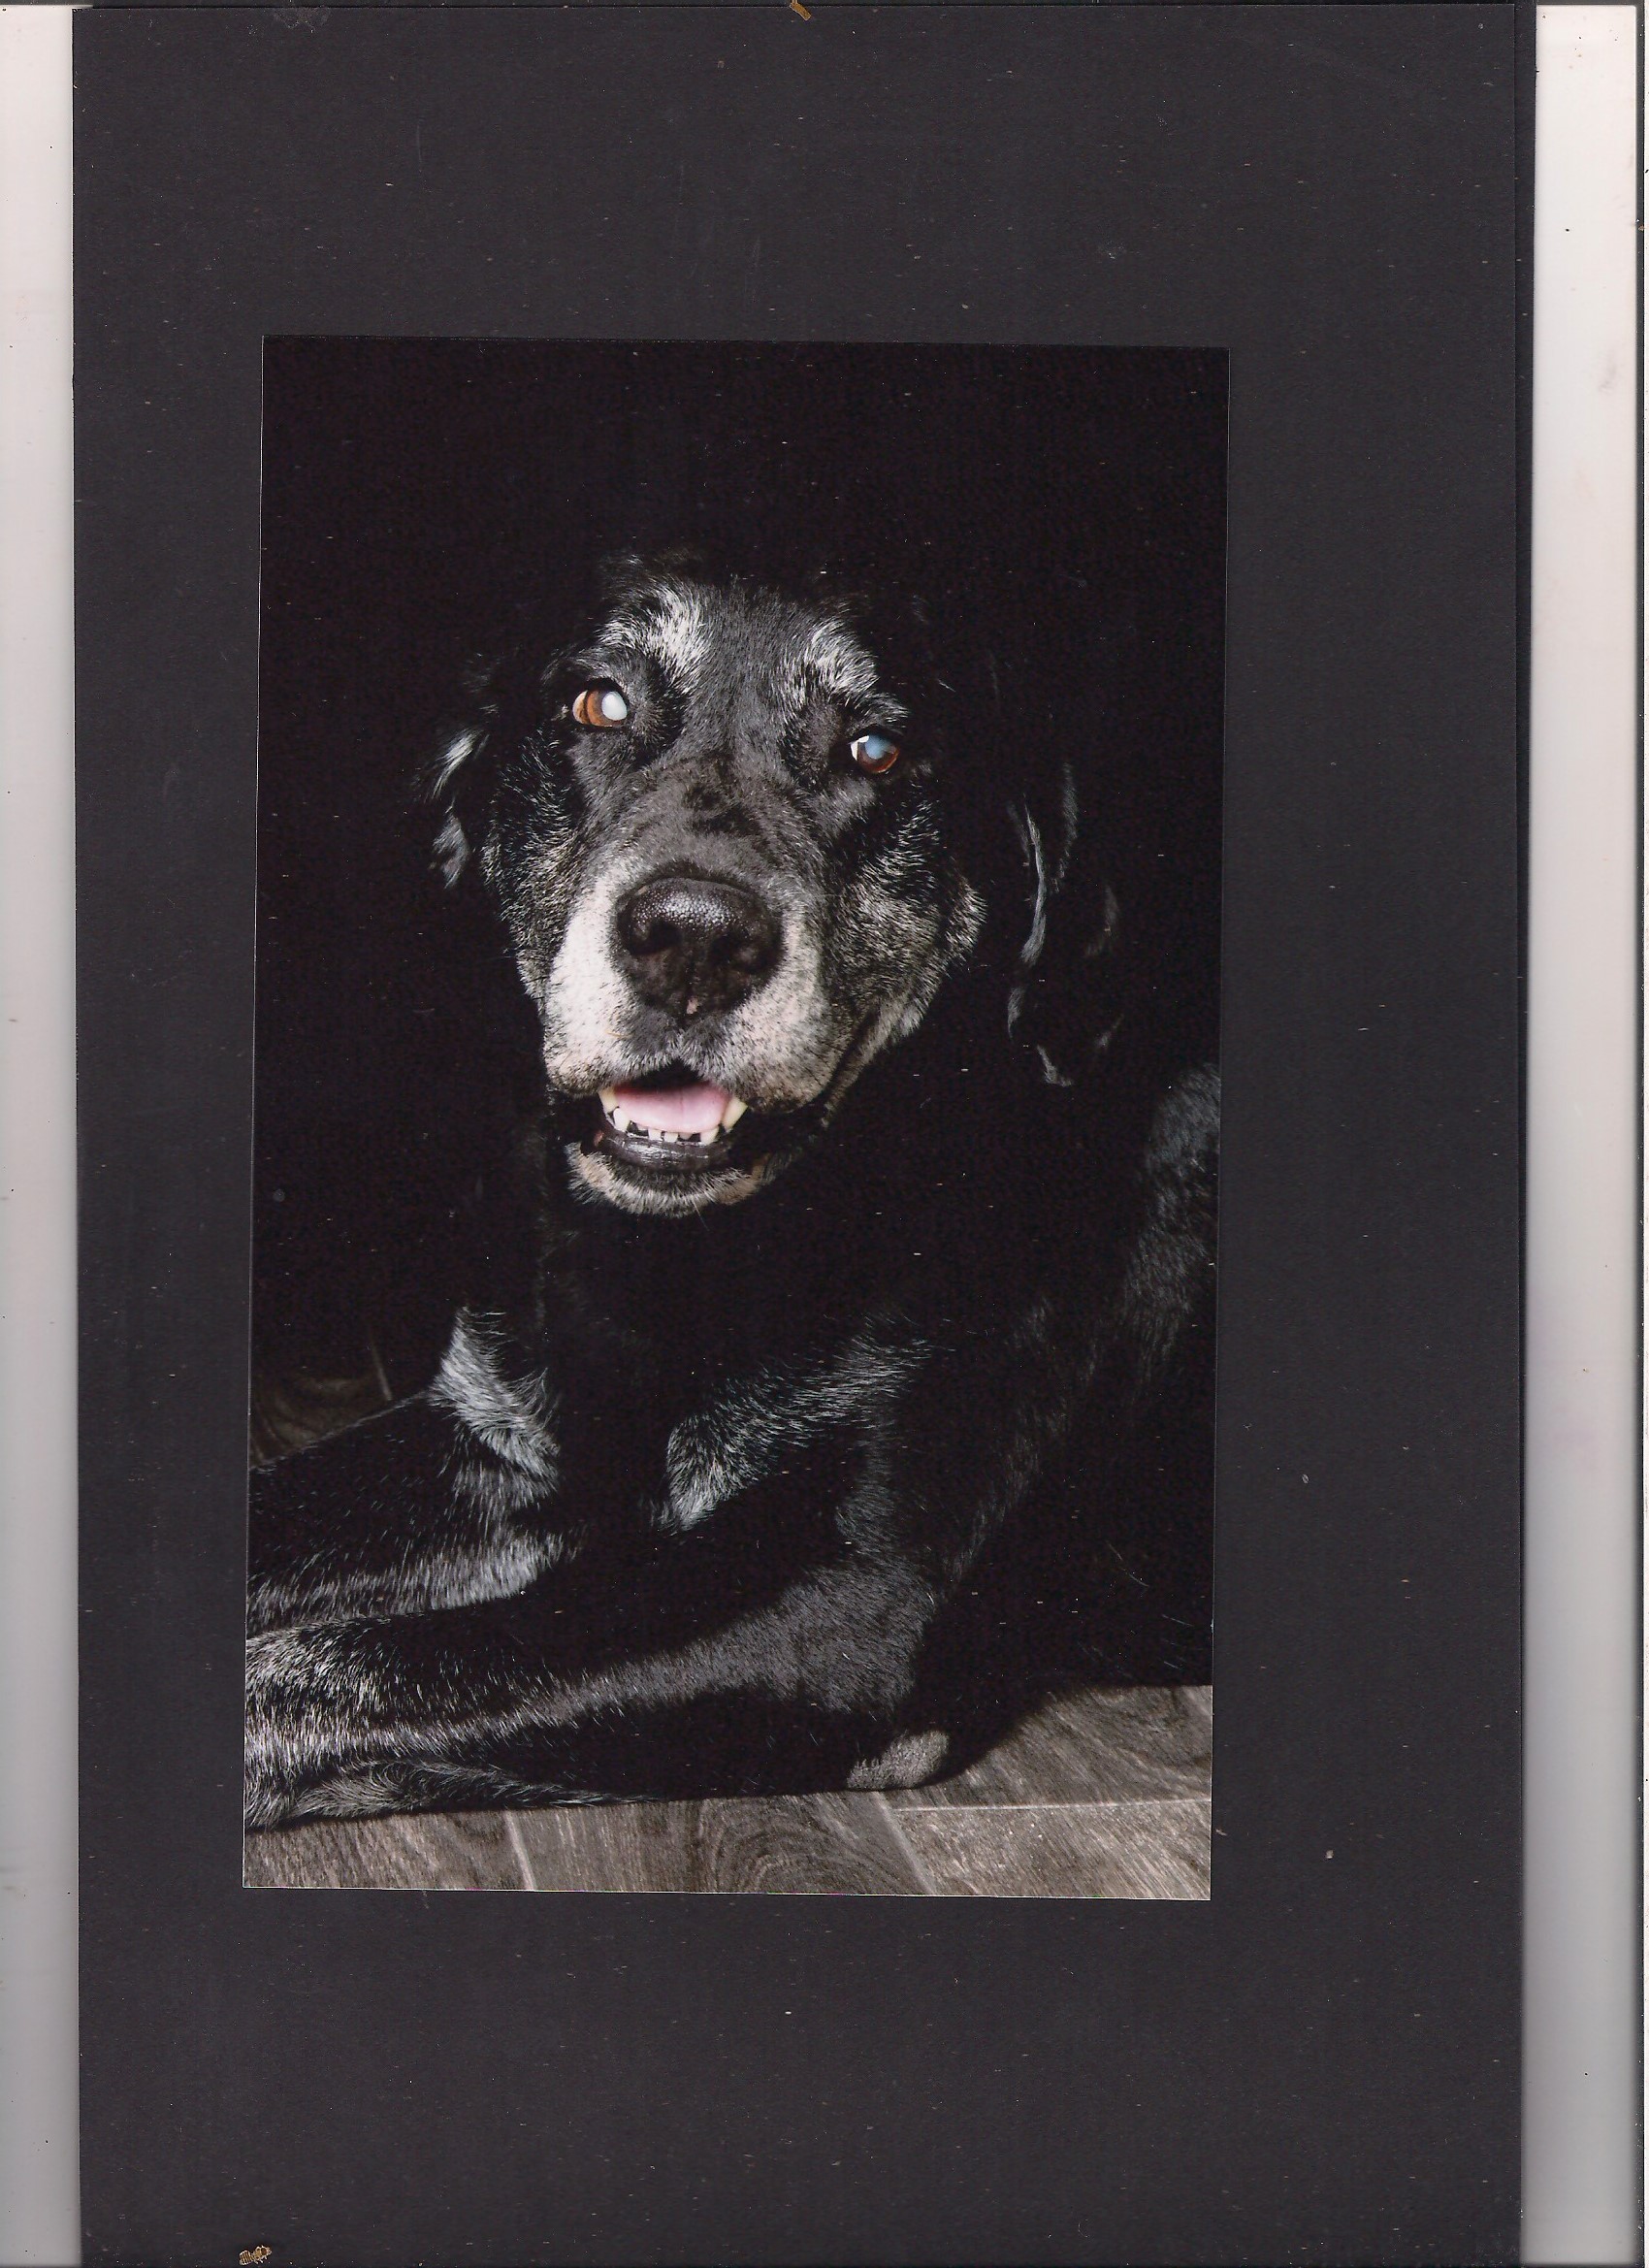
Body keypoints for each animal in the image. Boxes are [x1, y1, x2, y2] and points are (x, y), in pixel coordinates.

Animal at [244, 552, 1218, 1828]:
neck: (695, 1262)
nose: (693, 938)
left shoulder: (832, 1607)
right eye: (597, 704)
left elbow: (313, 1669)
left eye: (875, 750)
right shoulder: (495, 1444)